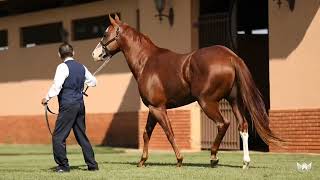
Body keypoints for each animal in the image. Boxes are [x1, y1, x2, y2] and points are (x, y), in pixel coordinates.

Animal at [91, 15, 282, 169]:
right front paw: (142, 161)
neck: (146, 62)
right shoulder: (153, 108)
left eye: (105, 34)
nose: (95, 54)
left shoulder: (158, 108)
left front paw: (179, 160)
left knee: (223, 123)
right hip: (234, 101)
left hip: (207, 102)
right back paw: (245, 162)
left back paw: (213, 157)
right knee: (242, 125)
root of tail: (230, 56)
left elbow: (169, 133)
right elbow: (146, 133)